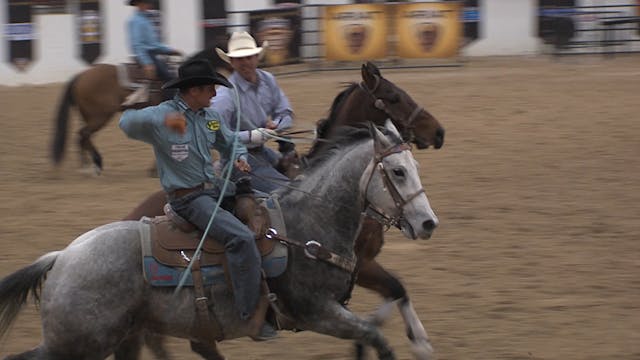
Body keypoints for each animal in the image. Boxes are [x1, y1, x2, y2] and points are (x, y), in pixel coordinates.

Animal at [0, 121, 438, 360]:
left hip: (119, 338)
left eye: (416, 165)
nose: (428, 223)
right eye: (398, 171)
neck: (307, 226)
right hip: (77, 343)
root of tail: (62, 257)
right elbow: (375, 334)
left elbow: (376, 322)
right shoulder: (317, 312)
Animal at [51, 49, 229, 176]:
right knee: (84, 134)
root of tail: (80, 76)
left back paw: (86, 166)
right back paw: (95, 165)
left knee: (81, 136)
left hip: (90, 116)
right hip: (99, 116)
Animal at [120, 62, 444, 360]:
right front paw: (419, 342)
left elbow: (394, 292)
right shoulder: (362, 266)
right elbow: (395, 289)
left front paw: (409, 340)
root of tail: (130, 216)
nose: (438, 132)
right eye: (393, 97)